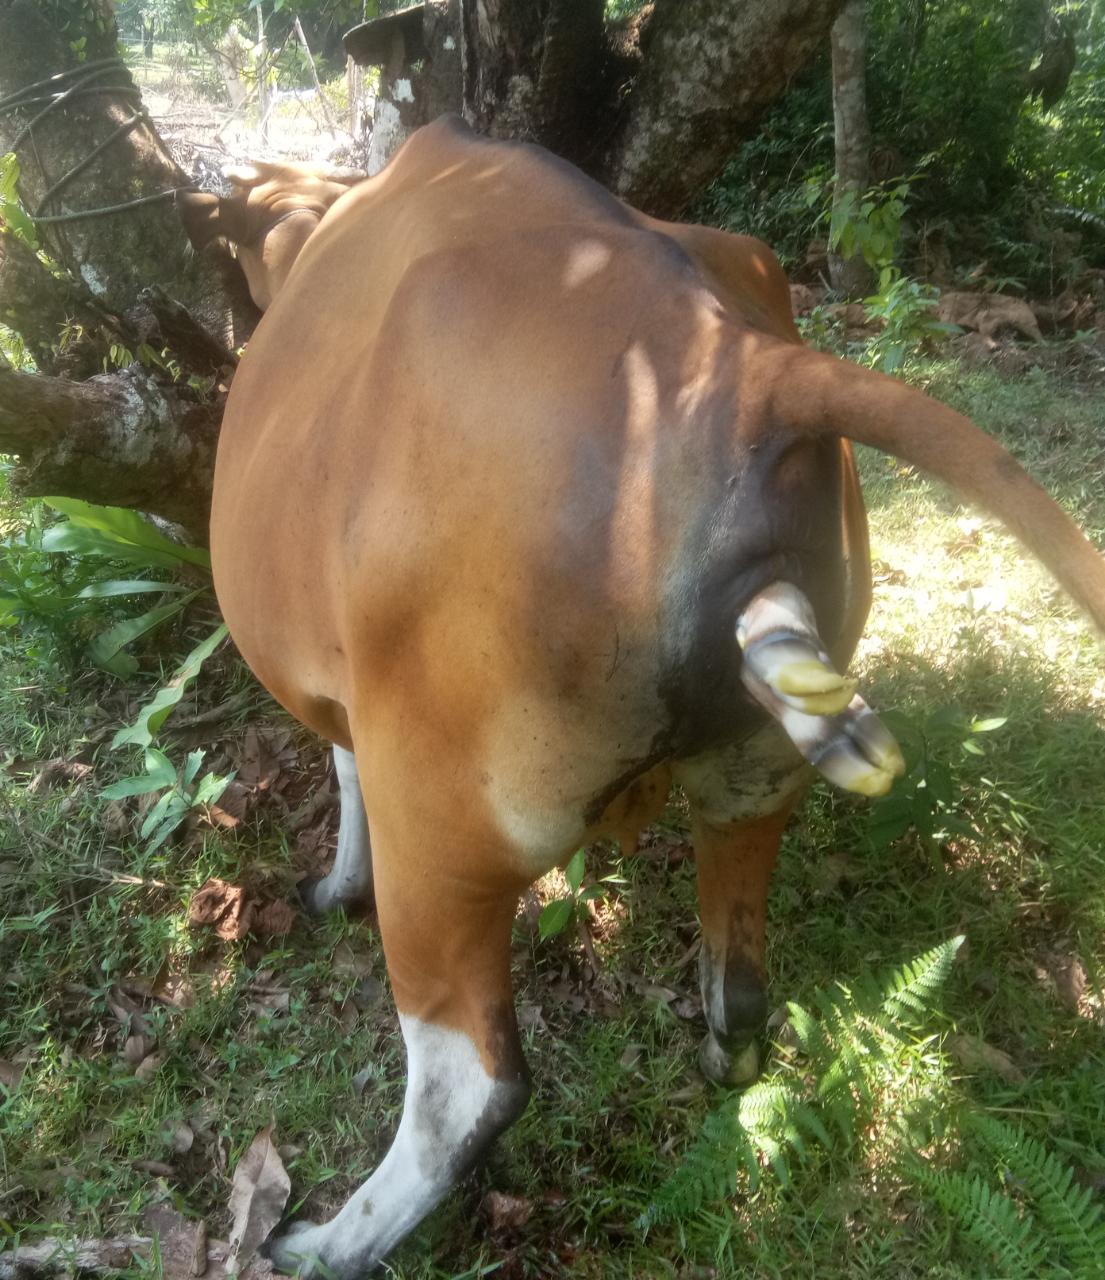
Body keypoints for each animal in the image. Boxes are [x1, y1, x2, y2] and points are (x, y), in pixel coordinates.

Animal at [178, 116, 1105, 1277]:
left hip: (441, 830)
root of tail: (740, 364)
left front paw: (335, 884)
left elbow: (337, 761)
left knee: (469, 1082)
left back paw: (332, 1240)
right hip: (756, 776)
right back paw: (722, 1057)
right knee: (739, 975)